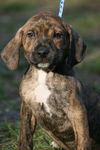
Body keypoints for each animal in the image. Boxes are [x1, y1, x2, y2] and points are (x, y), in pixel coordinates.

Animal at [0, 12, 99, 149]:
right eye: (30, 34)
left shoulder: (77, 111)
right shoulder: (27, 108)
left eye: (57, 35)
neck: (44, 74)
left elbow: (83, 139)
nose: (42, 52)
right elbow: (25, 136)